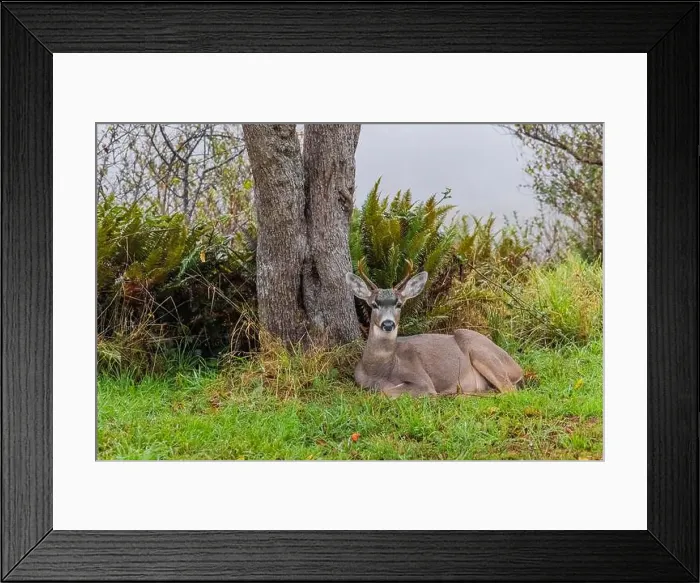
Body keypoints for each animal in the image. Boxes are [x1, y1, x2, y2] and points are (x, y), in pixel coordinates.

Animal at [345, 261, 524, 398]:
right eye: (374, 304)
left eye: (399, 304)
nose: (388, 324)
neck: (379, 371)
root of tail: (518, 368)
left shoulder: (422, 381)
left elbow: (385, 392)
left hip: (482, 351)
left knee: (509, 390)